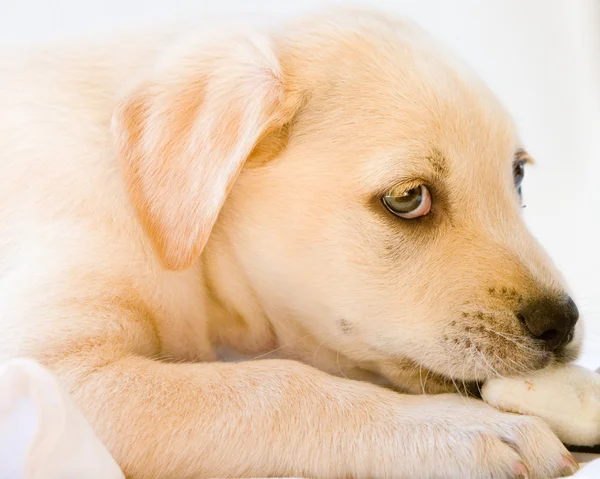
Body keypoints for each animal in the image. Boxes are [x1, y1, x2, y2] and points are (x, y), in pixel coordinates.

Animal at [0, 7, 580, 479]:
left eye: (518, 177)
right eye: (408, 198)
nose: (563, 323)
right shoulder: (51, 378)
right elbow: (277, 386)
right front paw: (464, 429)